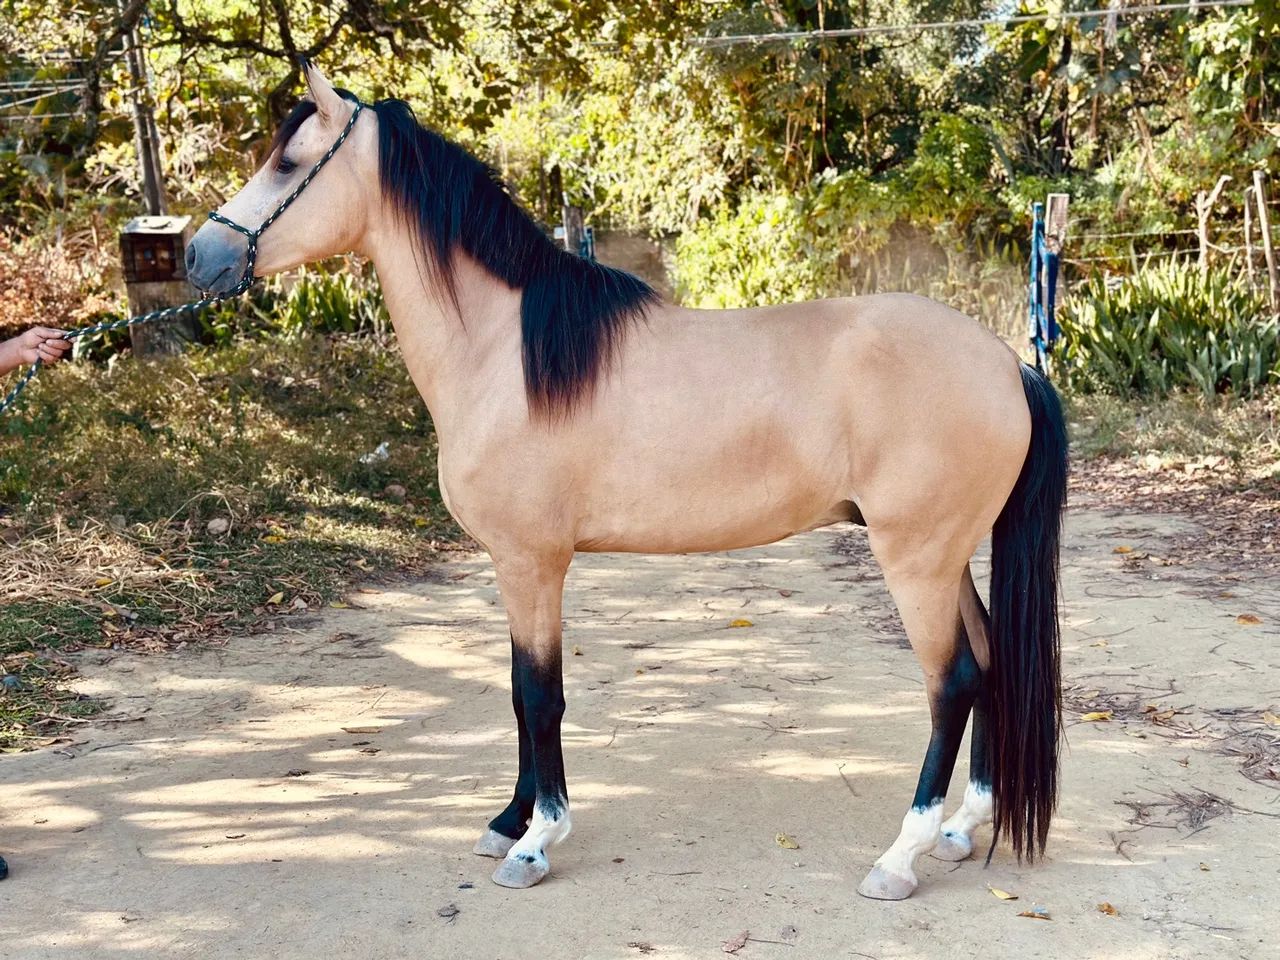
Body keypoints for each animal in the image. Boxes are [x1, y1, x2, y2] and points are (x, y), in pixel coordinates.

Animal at [184, 63, 1068, 900]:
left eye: (288, 161)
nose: (197, 256)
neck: (505, 352)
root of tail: (1007, 364)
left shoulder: (532, 562)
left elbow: (539, 694)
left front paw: (536, 842)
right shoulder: (516, 566)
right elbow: (519, 691)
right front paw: (509, 821)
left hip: (916, 560)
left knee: (952, 683)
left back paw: (900, 857)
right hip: (947, 559)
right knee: (989, 663)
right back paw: (961, 828)